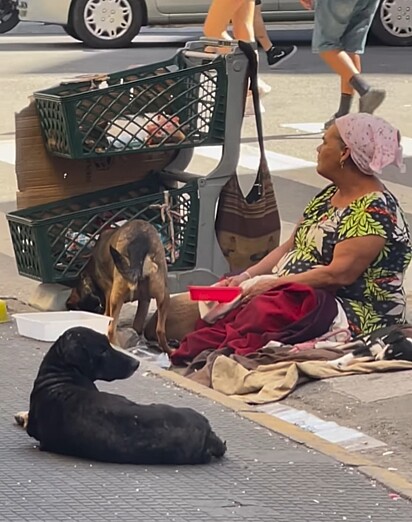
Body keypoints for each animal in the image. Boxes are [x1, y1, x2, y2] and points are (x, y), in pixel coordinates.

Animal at [67, 219, 170, 354]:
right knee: (160, 331)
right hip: (163, 295)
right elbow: (137, 325)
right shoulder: (144, 300)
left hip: (116, 298)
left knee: (111, 329)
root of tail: (140, 241)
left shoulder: (108, 297)